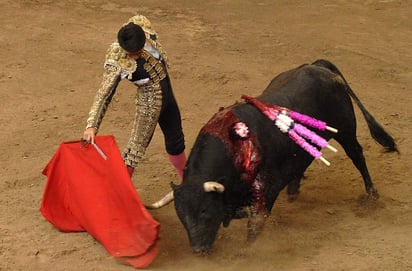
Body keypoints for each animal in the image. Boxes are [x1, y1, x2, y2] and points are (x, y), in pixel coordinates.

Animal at [148, 58, 396, 254]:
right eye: (181, 215)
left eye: (204, 210)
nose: (199, 250)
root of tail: (317, 66)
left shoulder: (265, 190)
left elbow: (255, 225)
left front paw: (244, 253)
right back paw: (294, 191)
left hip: (345, 130)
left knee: (357, 156)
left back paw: (372, 195)